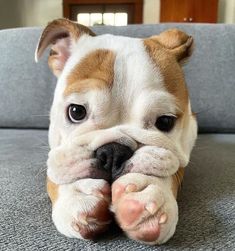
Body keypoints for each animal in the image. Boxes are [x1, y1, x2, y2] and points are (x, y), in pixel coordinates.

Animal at [35, 18, 196, 245]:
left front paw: (150, 192)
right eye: (76, 111)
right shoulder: (59, 155)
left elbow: (174, 170)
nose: (113, 151)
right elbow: (57, 173)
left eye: (165, 122)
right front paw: (78, 193)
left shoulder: (183, 149)